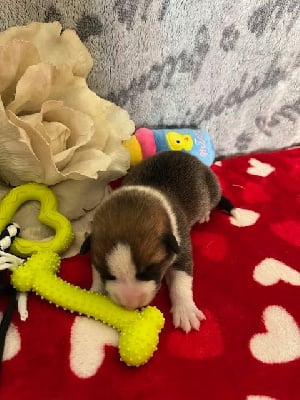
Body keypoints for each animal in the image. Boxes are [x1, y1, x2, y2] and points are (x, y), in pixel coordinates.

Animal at [87, 150, 223, 332]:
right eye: (107, 273)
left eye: (150, 270)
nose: (130, 305)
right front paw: (96, 292)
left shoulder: (181, 245)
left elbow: (181, 279)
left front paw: (185, 310)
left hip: (212, 188)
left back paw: (204, 214)